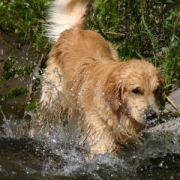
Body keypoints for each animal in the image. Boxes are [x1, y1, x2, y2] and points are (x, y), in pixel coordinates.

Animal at [33, 0, 165, 158]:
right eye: (136, 90)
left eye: (156, 91)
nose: (151, 115)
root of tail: (75, 30)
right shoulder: (101, 138)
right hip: (53, 97)